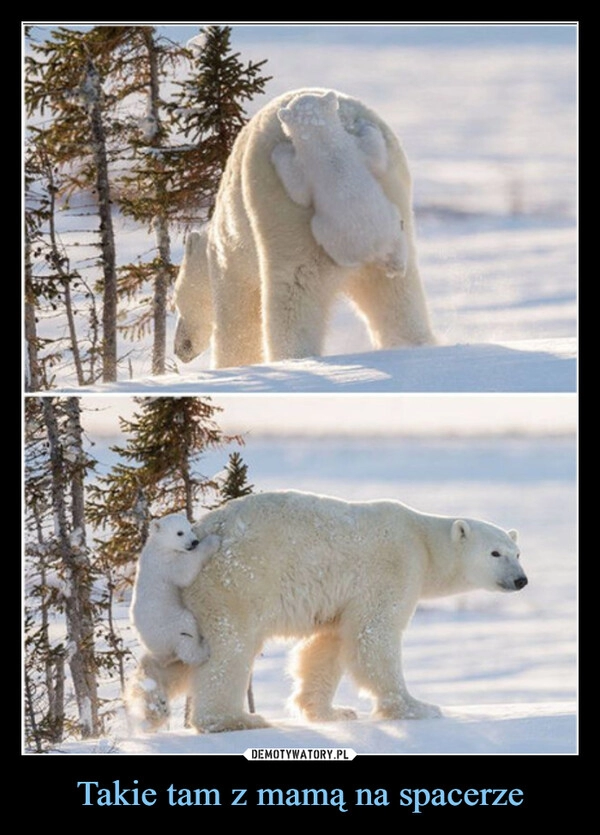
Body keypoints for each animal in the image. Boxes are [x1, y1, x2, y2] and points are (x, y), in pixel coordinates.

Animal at [132, 494, 528, 736]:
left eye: (517, 552)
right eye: (495, 553)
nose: (521, 580)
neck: (423, 540)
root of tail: (199, 532)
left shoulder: (342, 600)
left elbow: (328, 645)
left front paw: (332, 712)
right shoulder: (393, 568)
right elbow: (374, 636)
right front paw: (419, 707)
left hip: (186, 598)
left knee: (179, 651)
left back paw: (152, 699)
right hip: (235, 582)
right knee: (228, 649)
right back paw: (236, 719)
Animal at [171, 87, 434, 370]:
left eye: (174, 302)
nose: (180, 349)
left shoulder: (230, 258)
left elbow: (238, 319)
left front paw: (232, 365)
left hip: (283, 214)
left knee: (293, 293)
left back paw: (292, 357)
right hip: (393, 198)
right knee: (397, 295)